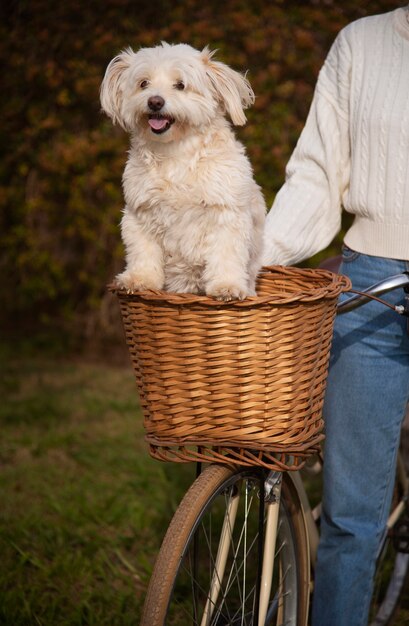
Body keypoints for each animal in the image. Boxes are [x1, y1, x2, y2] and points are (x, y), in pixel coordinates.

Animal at [99, 42, 264, 300]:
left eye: (181, 85)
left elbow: (226, 255)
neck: (175, 152)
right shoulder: (140, 217)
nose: (155, 102)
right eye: (143, 83)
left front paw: (227, 286)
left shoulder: (227, 215)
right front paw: (140, 279)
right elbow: (143, 253)